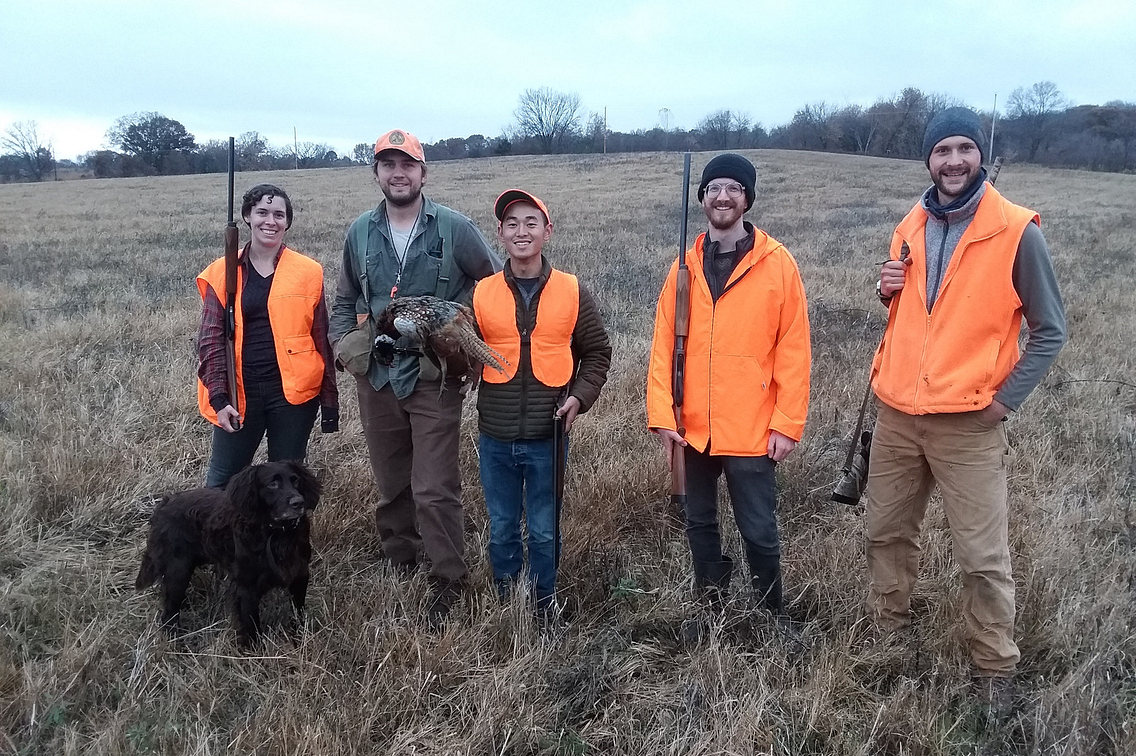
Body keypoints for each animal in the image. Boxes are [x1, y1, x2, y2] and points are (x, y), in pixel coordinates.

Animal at [134, 459, 320, 641]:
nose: (299, 502)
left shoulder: (299, 576)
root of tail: (163, 504)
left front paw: (299, 638)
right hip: (177, 572)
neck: (277, 534)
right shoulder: (247, 588)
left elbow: (298, 614)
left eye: (296, 480)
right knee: (168, 615)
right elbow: (252, 628)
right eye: (272, 484)